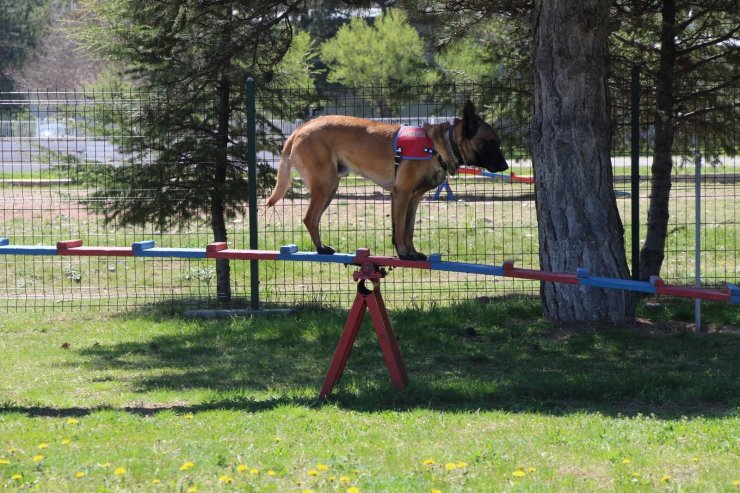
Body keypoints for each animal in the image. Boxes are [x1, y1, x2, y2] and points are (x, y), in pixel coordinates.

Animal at [266, 101, 508, 262]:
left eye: (498, 142)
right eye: (490, 142)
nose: (505, 166)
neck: (437, 146)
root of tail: (300, 129)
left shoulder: (413, 199)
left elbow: (408, 229)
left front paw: (411, 252)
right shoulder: (401, 194)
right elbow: (400, 229)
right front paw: (403, 253)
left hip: (330, 187)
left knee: (313, 219)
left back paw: (321, 247)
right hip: (325, 185)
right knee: (309, 218)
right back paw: (321, 249)